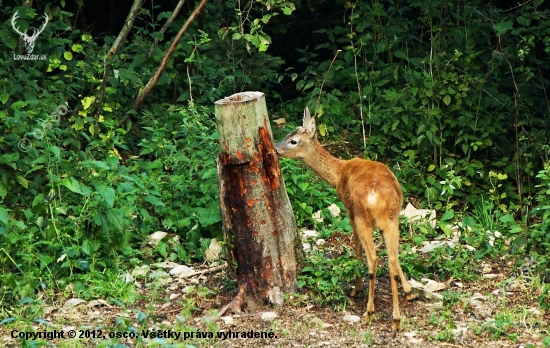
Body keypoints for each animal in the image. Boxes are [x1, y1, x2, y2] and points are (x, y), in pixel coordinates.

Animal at [276, 106, 414, 334]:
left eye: (293, 140)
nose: (276, 148)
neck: (338, 173)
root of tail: (378, 197)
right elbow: (393, 255)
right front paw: (409, 290)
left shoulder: (349, 211)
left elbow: (356, 247)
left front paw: (356, 289)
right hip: (392, 219)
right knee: (392, 258)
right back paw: (396, 319)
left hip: (362, 217)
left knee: (373, 258)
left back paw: (369, 311)